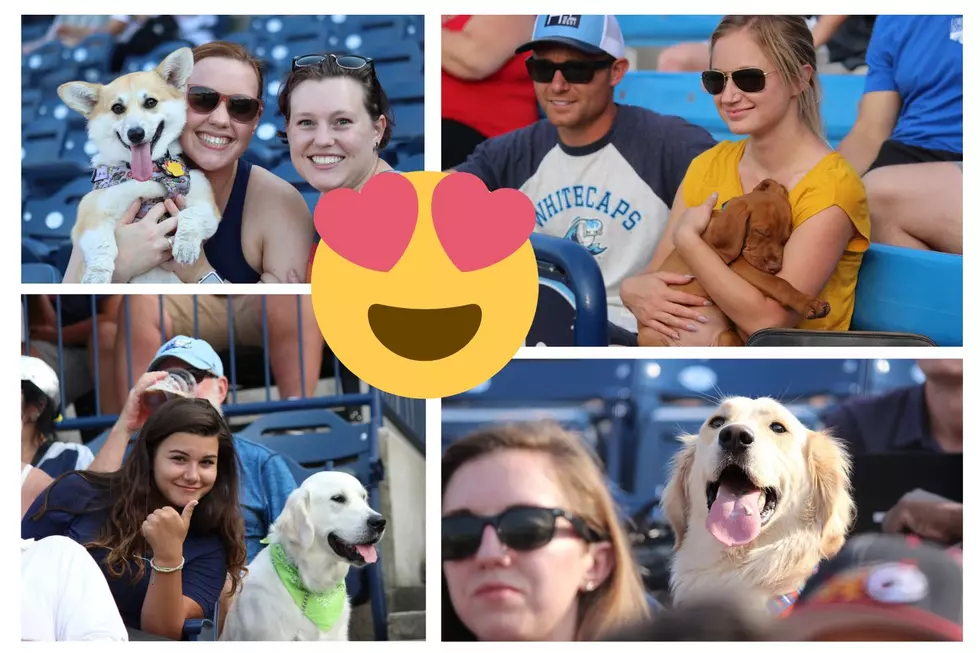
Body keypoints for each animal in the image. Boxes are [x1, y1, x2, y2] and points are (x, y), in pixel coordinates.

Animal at [640, 178, 832, 346]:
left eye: (785, 238)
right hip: (652, 336)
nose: (775, 267)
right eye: (760, 232)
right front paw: (809, 303)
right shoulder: (736, 264)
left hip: (726, 338)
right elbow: (778, 283)